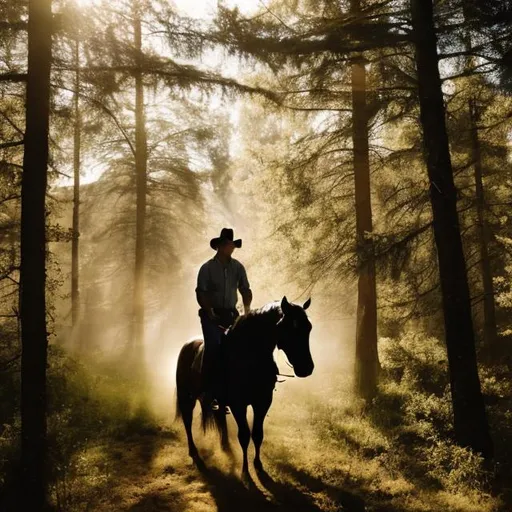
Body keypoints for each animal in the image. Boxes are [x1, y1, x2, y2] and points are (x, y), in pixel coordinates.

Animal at [175, 294, 312, 478]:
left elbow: (257, 434)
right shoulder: (238, 404)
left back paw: (225, 445)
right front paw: (245, 471)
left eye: (308, 328)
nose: (307, 368)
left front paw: (258, 465)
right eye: (289, 328)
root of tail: (187, 345)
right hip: (186, 397)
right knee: (187, 421)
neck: (249, 355)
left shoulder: (263, 402)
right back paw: (193, 451)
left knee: (220, 419)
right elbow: (245, 435)